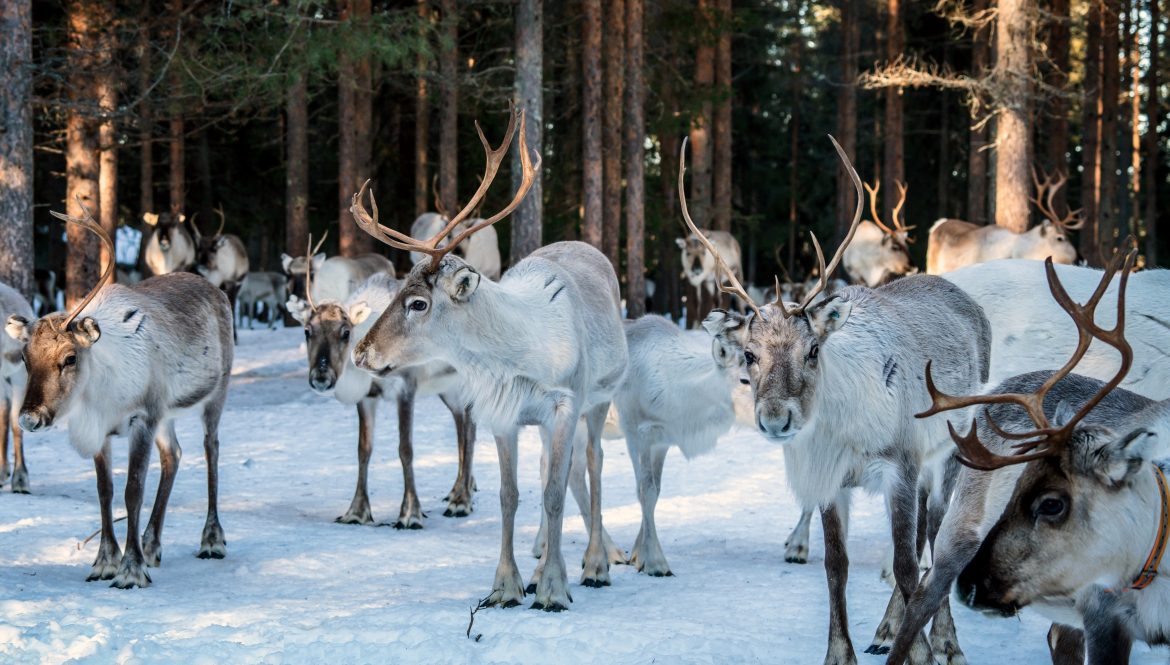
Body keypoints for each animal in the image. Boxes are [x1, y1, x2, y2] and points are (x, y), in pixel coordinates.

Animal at [5, 201, 231, 588]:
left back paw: (211, 540)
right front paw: (105, 562)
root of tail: (217, 290)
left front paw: (130, 570)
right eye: (24, 357)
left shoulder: (142, 417)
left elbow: (133, 490)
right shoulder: (103, 428)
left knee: (211, 449)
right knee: (174, 455)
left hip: (215, 394)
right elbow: (105, 490)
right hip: (166, 414)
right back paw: (152, 544)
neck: (99, 392)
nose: (29, 417)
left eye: (70, 357)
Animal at [287, 249, 477, 525]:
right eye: (307, 331)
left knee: (470, 430)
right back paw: (459, 490)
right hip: (448, 389)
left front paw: (410, 513)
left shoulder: (406, 388)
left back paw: (461, 501)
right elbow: (363, 450)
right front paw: (356, 512)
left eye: (346, 332)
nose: (321, 377)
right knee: (460, 425)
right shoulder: (367, 397)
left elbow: (405, 449)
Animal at [348, 107, 628, 611]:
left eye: (417, 303)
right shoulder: (503, 415)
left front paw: (554, 589)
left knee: (594, 465)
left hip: (598, 401)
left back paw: (595, 565)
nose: (361, 352)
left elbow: (555, 494)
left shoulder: (565, 405)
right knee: (552, 471)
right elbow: (509, 495)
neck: (519, 355)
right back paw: (541, 567)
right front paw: (507, 586)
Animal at [690, 135, 991, 665]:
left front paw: (923, 651)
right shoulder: (831, 479)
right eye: (749, 355)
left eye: (813, 349)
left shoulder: (900, 464)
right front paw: (841, 652)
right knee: (919, 539)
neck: (843, 432)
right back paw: (887, 628)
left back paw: (947, 640)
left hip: (950, 451)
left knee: (935, 537)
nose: (775, 419)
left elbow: (907, 566)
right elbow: (836, 564)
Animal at [885, 250, 1170, 665]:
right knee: (923, 591)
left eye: (1052, 504)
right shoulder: (1104, 611)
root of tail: (1001, 387)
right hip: (961, 528)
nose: (973, 587)